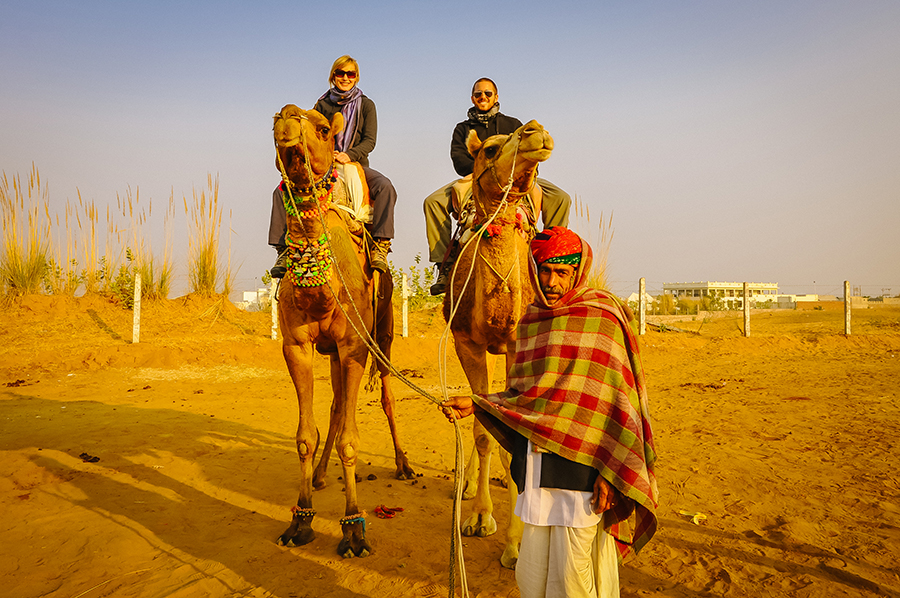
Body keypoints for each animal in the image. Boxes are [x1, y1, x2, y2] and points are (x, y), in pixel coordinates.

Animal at [272, 105, 416, 560]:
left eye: (322, 128)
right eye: (274, 119)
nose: (287, 118)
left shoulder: (355, 346)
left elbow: (351, 440)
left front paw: (354, 531)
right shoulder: (297, 345)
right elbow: (307, 434)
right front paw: (299, 520)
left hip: (382, 332)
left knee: (387, 395)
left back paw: (404, 465)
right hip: (333, 351)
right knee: (336, 407)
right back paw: (319, 475)